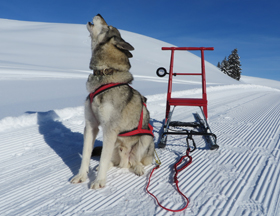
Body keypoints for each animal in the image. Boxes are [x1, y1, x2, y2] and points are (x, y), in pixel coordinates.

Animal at [69, 14, 154, 189]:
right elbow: (86, 155)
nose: (99, 14)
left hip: (146, 138)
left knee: (135, 160)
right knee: (111, 161)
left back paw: (137, 167)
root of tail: (125, 160)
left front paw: (99, 181)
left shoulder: (110, 128)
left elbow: (102, 157)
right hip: (115, 144)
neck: (104, 73)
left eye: (108, 27)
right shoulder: (91, 126)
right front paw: (81, 176)